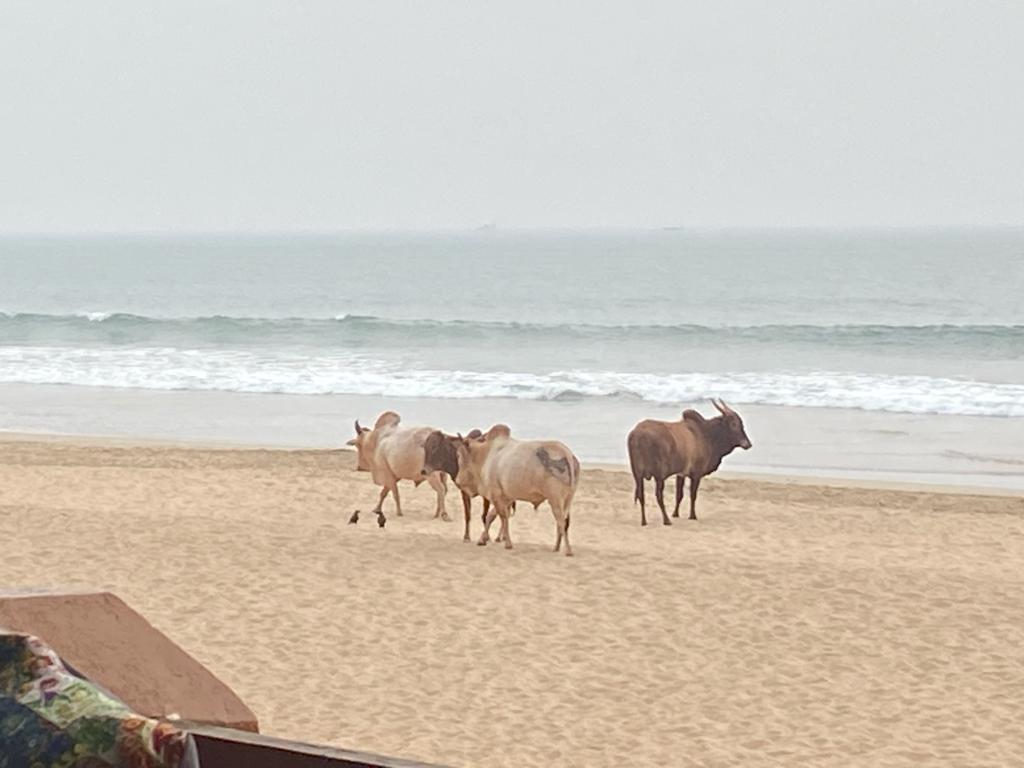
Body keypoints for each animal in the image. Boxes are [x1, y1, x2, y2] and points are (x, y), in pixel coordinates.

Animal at [423, 423, 581, 557]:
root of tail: (566, 453)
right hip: (567, 500)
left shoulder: (496, 496)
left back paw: (567, 550)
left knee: (561, 522)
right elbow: (492, 517)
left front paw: (507, 543)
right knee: (562, 523)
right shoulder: (505, 497)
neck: (484, 455)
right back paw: (556, 547)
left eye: (459, 455)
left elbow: (501, 518)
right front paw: (484, 539)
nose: (458, 480)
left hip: (555, 500)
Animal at [622, 397, 753, 528]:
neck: (707, 435)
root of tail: (636, 434)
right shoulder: (696, 474)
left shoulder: (681, 474)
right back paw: (666, 520)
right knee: (658, 496)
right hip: (659, 474)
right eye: (734, 424)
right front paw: (692, 516)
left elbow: (679, 495)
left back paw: (644, 521)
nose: (748, 444)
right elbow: (693, 495)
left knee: (641, 495)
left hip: (637, 474)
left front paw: (675, 514)